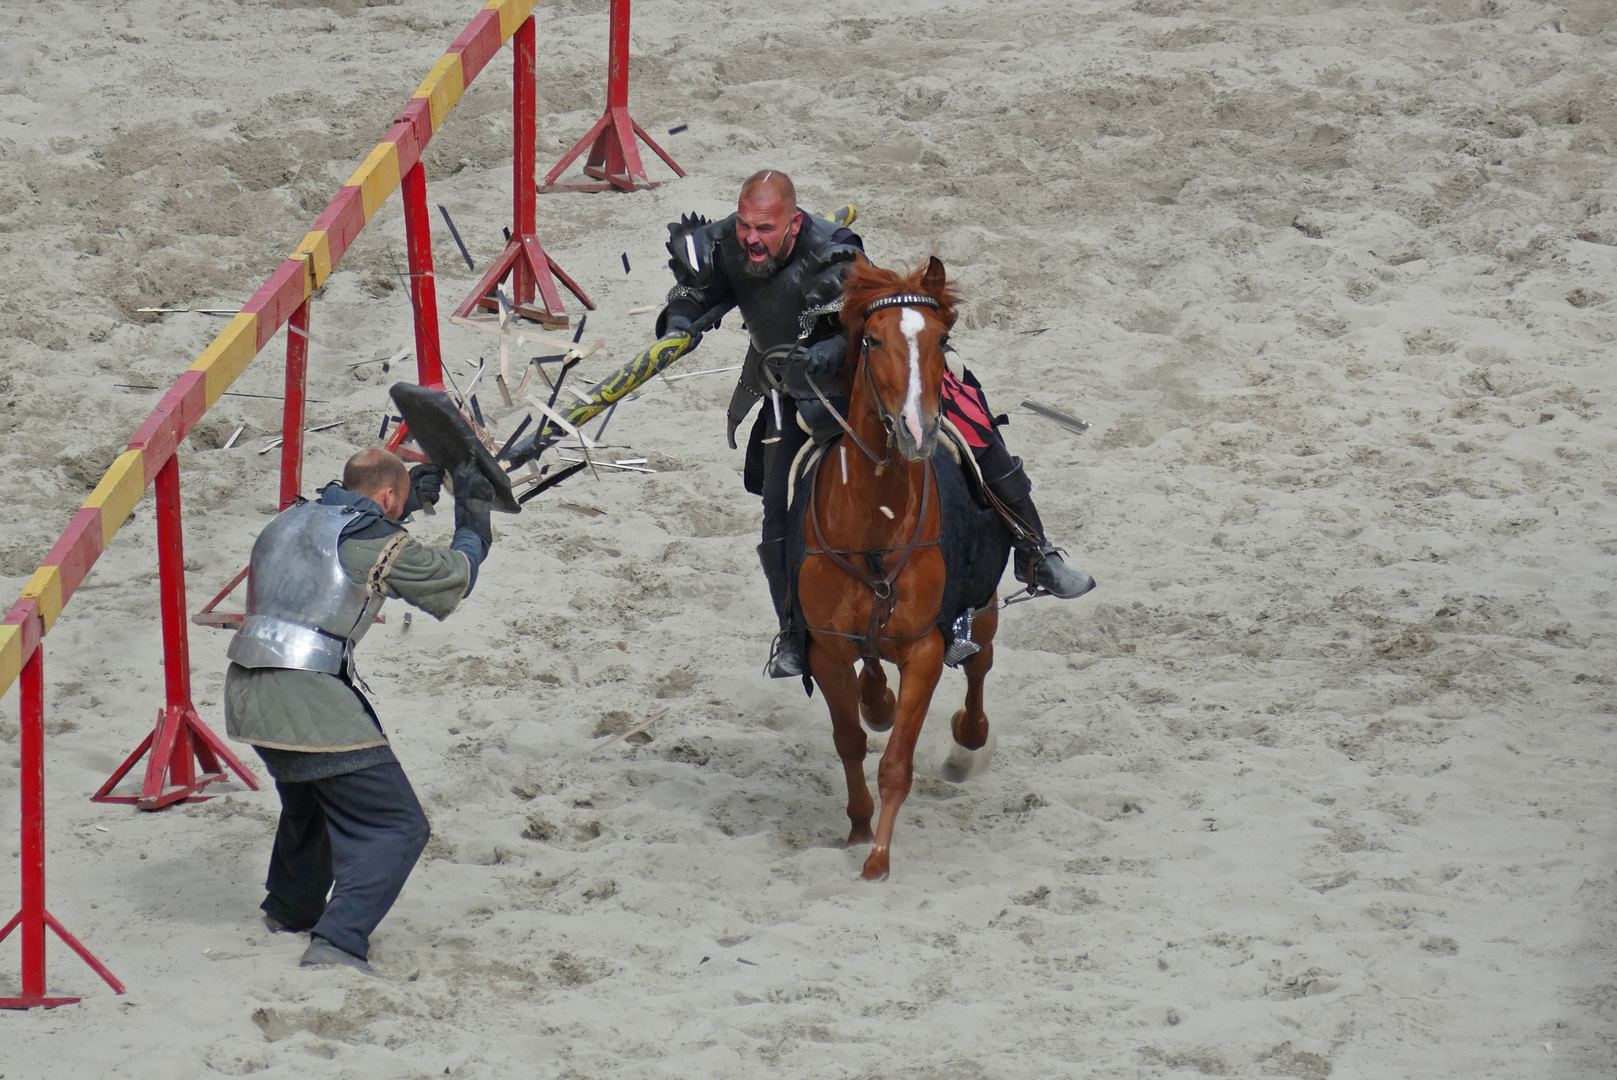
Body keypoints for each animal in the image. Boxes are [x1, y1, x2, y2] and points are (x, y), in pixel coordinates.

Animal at [789, 253, 1002, 879]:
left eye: (942, 339)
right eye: (873, 339)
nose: (917, 430)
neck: (874, 528)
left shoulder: (926, 650)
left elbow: (896, 763)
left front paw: (878, 859)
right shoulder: (826, 648)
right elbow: (850, 741)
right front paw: (859, 828)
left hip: (984, 606)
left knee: (979, 665)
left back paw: (968, 739)